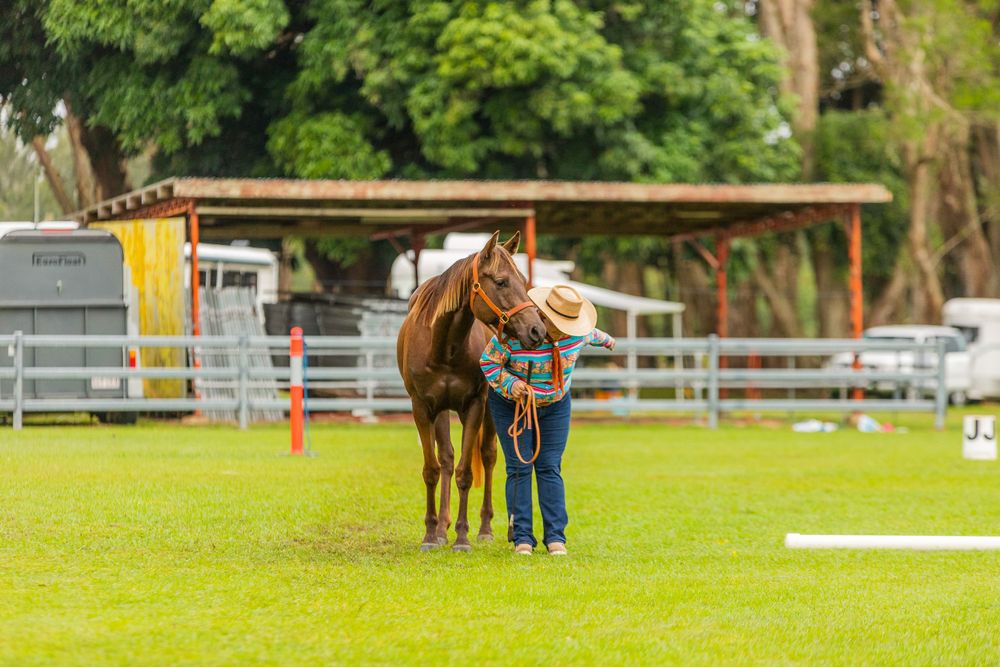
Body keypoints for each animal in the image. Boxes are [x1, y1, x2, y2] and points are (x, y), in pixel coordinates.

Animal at [397, 231, 546, 552]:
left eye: (523, 280)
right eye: (501, 282)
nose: (537, 330)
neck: (443, 347)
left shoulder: (475, 405)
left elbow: (466, 472)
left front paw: (463, 537)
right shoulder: (422, 407)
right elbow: (433, 469)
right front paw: (431, 534)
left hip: (492, 409)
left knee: (489, 457)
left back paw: (487, 529)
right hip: (441, 411)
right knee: (446, 459)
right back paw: (442, 528)